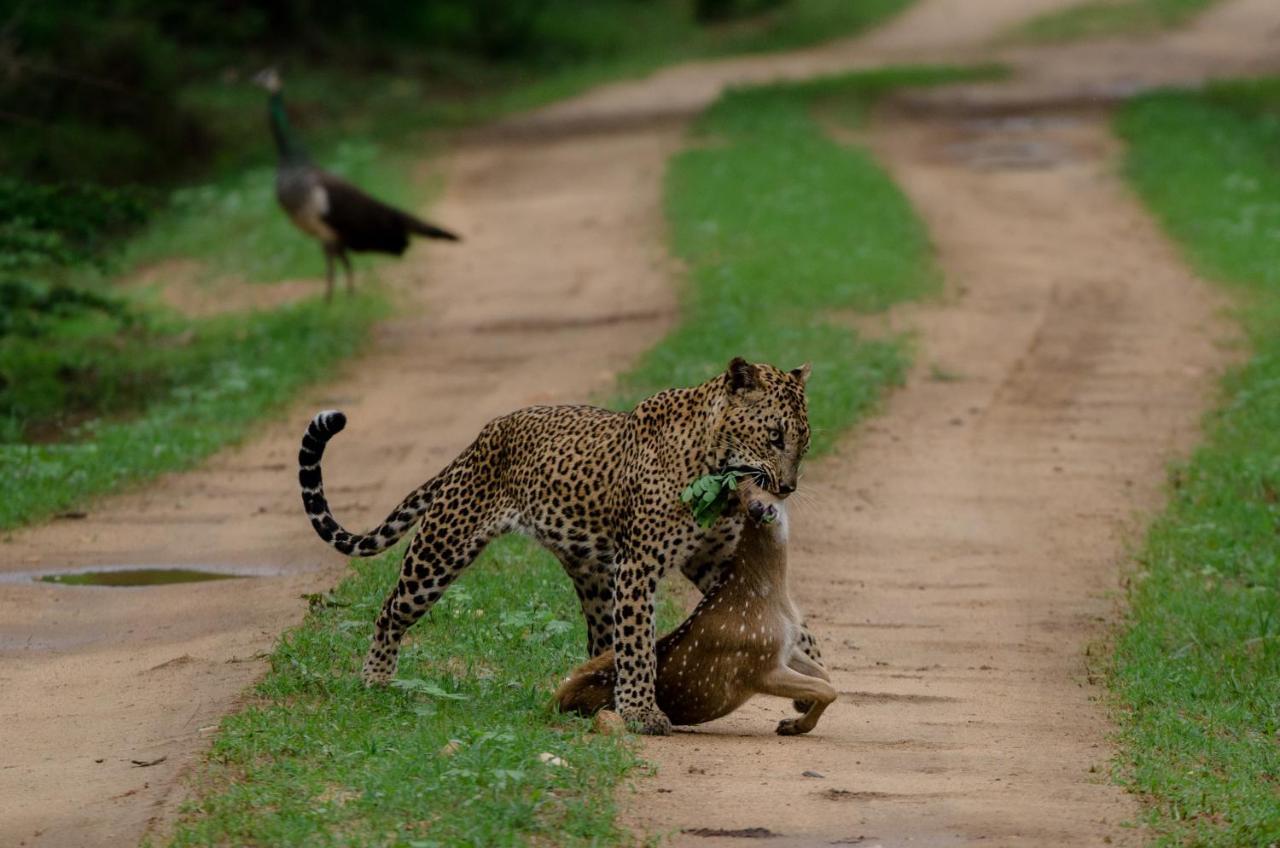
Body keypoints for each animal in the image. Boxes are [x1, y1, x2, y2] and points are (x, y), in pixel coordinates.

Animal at [299, 356, 814, 732]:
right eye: (774, 436)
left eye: (804, 443)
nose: (788, 488)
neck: (714, 468)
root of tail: (478, 440)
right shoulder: (639, 567)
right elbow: (638, 647)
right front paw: (641, 713)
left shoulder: (716, 560)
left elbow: (798, 626)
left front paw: (809, 686)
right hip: (442, 548)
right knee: (390, 610)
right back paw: (375, 681)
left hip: (592, 577)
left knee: (600, 645)